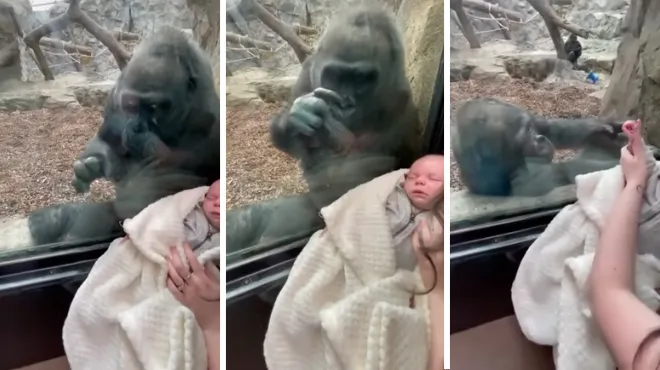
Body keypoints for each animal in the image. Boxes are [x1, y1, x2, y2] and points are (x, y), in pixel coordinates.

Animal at [27, 26, 219, 246]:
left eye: (154, 107)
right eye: (131, 105)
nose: (137, 126)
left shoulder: (205, 109)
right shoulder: (116, 92)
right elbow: (107, 142)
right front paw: (90, 167)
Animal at [227, 1, 418, 253]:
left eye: (362, 80)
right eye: (334, 75)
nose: (346, 103)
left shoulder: (400, 97)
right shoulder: (309, 69)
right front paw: (299, 116)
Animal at [452, 97, 628, 198]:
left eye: (530, 129)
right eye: (522, 141)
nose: (539, 140)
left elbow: (553, 130)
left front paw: (608, 127)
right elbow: (560, 173)